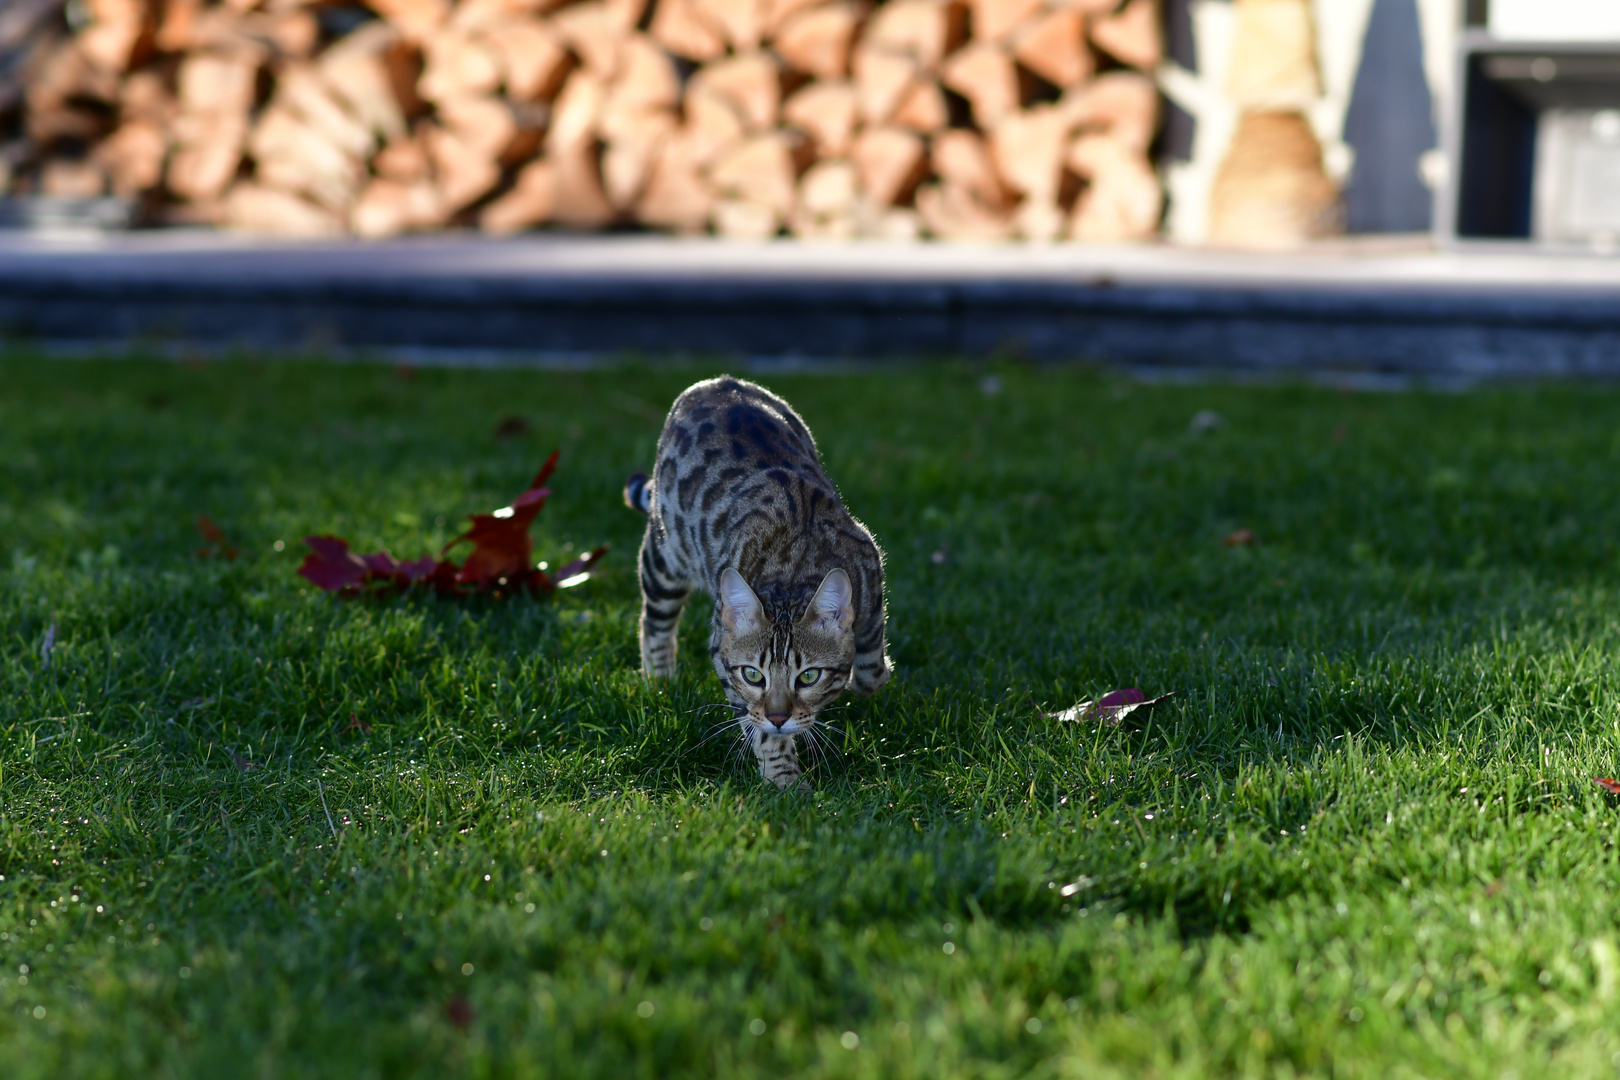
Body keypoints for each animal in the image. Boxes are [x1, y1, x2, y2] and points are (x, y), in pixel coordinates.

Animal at [625, 375, 894, 790]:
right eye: (753, 674)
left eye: (808, 675)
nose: (779, 717)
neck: (794, 569)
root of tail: (715, 382)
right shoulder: (723, 653)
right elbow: (761, 730)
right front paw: (786, 780)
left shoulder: (870, 571)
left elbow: (871, 670)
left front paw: (861, 676)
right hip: (664, 555)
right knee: (653, 624)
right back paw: (660, 682)